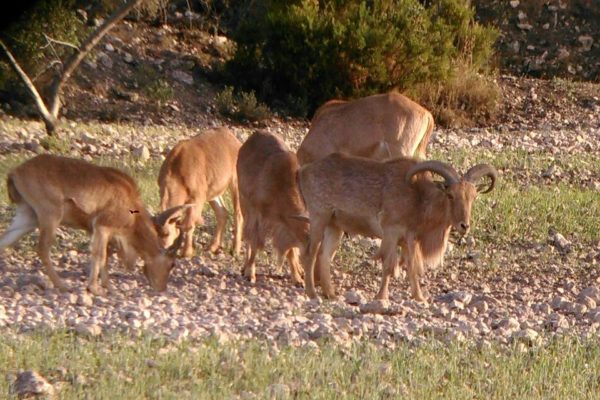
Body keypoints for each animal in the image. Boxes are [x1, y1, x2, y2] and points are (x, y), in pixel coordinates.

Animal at [159, 128, 246, 260]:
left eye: (166, 233)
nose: (161, 248)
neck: (176, 172)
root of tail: (234, 140)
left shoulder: (197, 198)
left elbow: (189, 224)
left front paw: (186, 253)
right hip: (213, 191)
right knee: (222, 213)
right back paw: (212, 247)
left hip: (236, 183)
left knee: (238, 215)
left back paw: (235, 250)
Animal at [236, 131, 308, 284]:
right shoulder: (257, 213)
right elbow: (254, 242)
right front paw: (250, 273)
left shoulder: (284, 224)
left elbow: (290, 249)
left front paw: (297, 278)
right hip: (243, 202)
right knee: (248, 236)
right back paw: (244, 267)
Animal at [298, 155, 500, 302]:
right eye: (450, 195)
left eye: (473, 197)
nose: (464, 225)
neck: (419, 199)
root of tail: (303, 171)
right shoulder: (392, 232)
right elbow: (388, 265)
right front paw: (381, 297)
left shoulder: (408, 240)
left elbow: (411, 267)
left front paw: (420, 298)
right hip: (319, 216)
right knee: (310, 253)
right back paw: (312, 293)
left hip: (335, 226)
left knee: (325, 256)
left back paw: (331, 294)